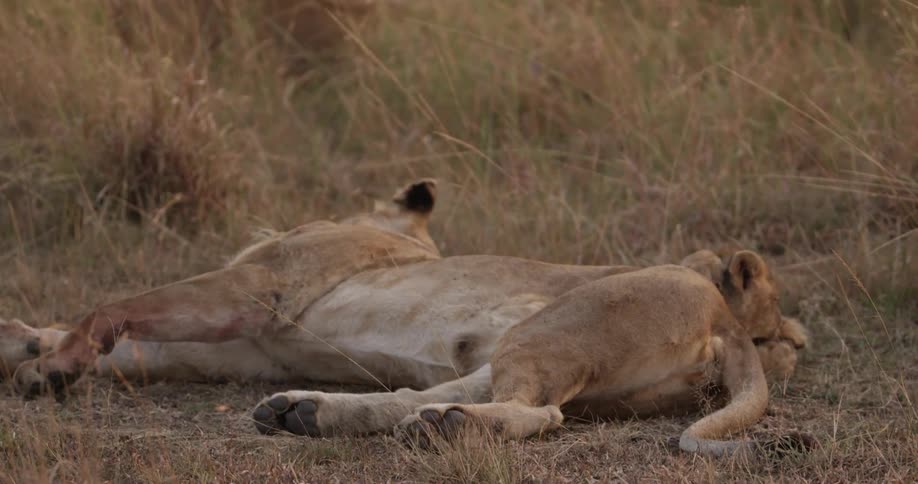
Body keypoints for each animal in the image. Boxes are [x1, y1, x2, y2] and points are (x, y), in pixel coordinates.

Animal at [1, 178, 808, 457]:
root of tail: (728, 323)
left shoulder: (254, 289)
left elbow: (116, 309)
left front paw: (53, 363)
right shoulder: (236, 346)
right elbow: (127, 345)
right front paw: (30, 346)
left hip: (552, 328)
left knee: (540, 413)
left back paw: (441, 431)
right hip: (518, 345)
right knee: (422, 396)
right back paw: (302, 413)